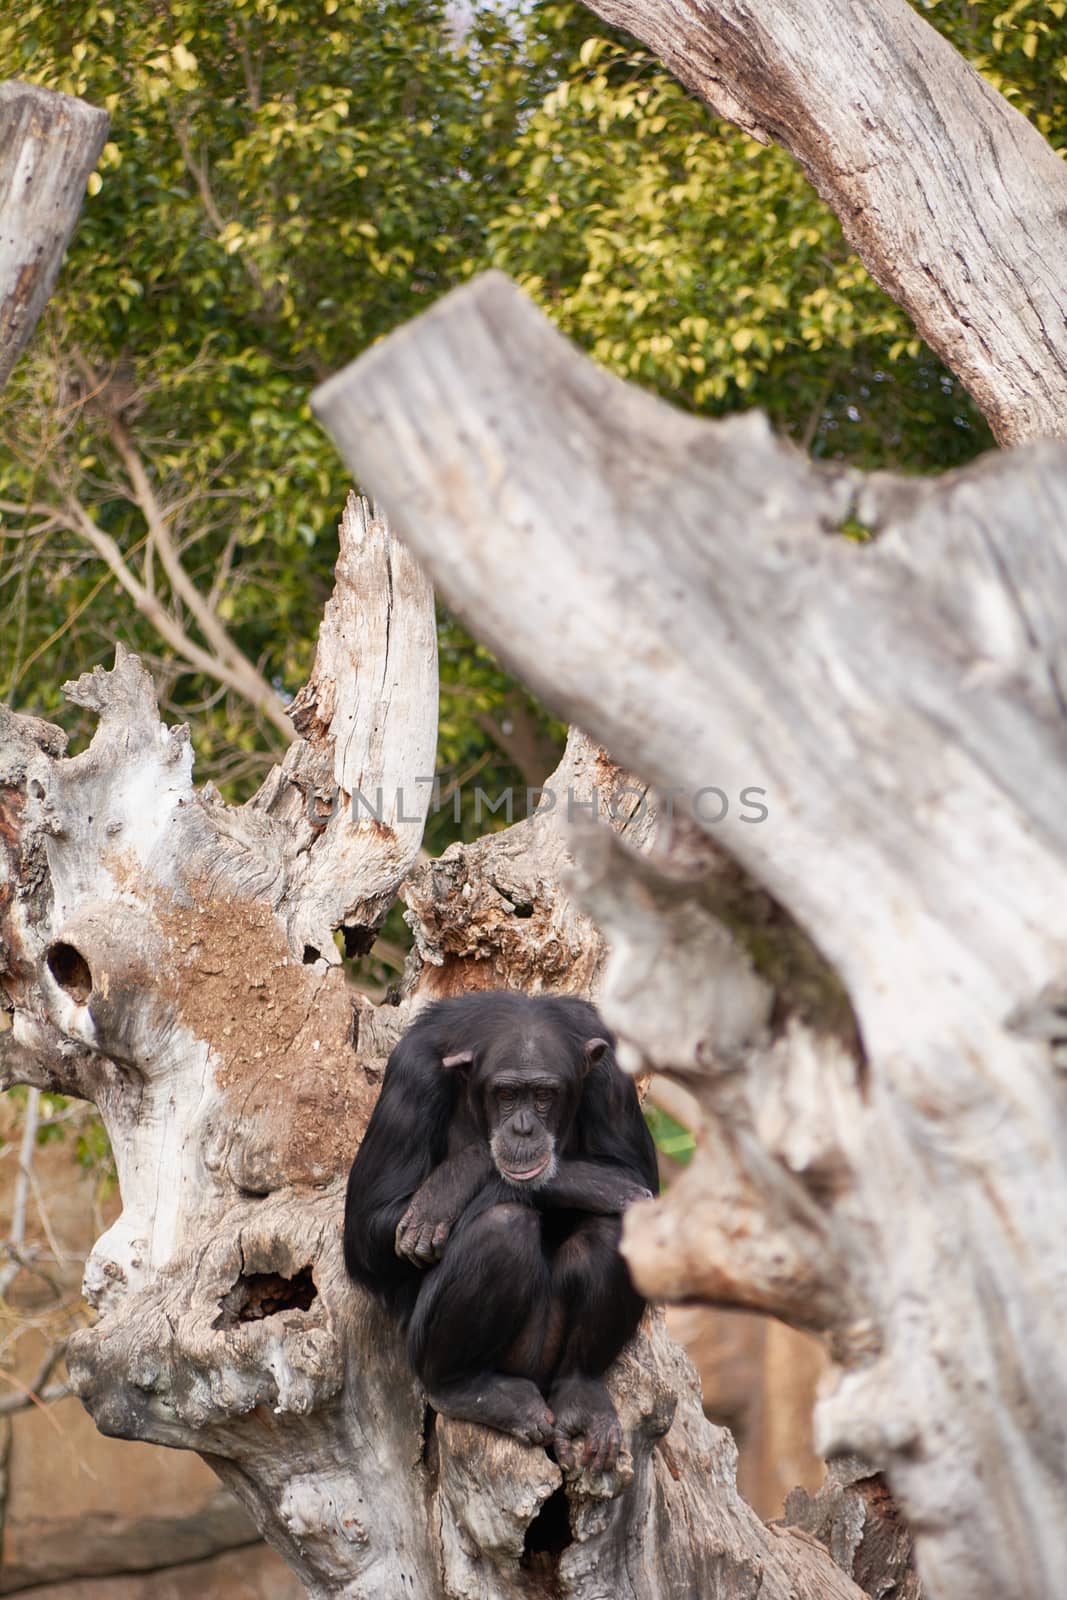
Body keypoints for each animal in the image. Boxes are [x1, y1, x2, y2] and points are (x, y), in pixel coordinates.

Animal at [343, 992, 659, 1465]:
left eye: (544, 1095)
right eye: (506, 1094)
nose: (523, 1128)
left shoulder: (613, 1079)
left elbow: (640, 1183)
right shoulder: (410, 1077)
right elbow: (368, 1226)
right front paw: (453, 1182)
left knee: (613, 1227)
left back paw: (581, 1393)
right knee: (503, 1227)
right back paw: (469, 1388)